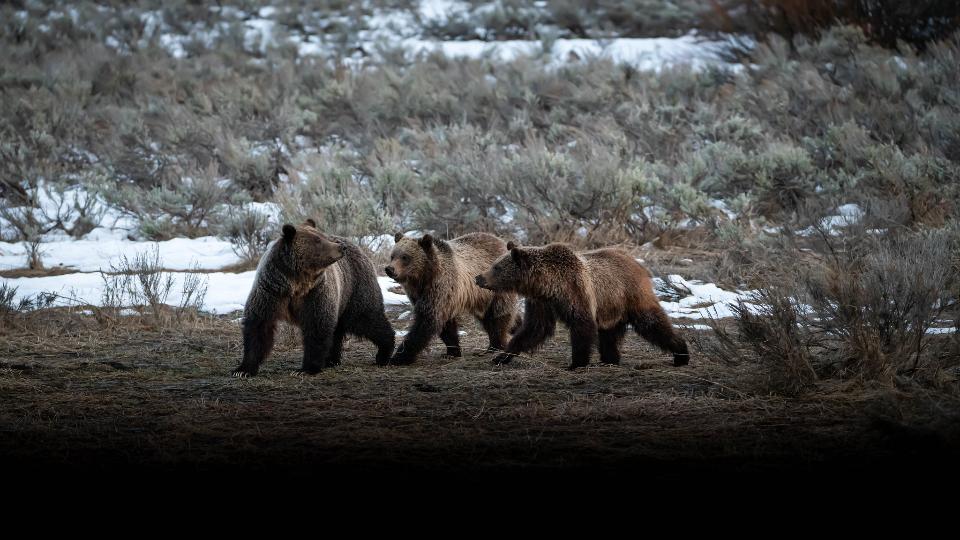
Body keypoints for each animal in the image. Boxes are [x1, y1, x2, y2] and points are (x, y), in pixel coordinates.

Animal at [232, 221, 394, 378]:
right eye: (317, 240)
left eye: (322, 236)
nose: (341, 247)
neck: (296, 284)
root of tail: (358, 247)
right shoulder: (271, 291)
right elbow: (258, 326)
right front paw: (242, 370)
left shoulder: (315, 293)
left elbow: (317, 326)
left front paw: (305, 369)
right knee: (339, 329)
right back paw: (331, 360)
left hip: (354, 288)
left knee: (366, 319)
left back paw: (383, 353)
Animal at [384, 231, 516, 362]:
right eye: (392, 256)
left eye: (405, 257)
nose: (389, 269)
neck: (423, 277)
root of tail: (500, 241)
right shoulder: (422, 295)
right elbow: (446, 327)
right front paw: (452, 351)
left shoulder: (439, 288)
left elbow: (426, 321)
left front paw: (399, 356)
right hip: (481, 298)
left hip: (496, 290)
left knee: (497, 317)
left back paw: (495, 346)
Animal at [474, 243, 688, 370]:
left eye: (496, 267)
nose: (479, 277)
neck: (548, 285)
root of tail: (637, 263)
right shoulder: (541, 302)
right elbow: (534, 328)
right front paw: (502, 356)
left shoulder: (575, 290)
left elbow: (581, 325)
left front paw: (576, 363)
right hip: (610, 308)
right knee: (608, 335)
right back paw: (610, 359)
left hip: (630, 295)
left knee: (651, 322)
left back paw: (681, 354)